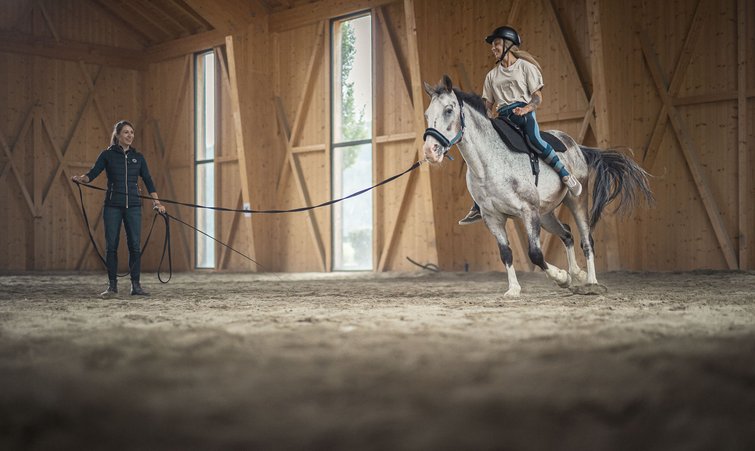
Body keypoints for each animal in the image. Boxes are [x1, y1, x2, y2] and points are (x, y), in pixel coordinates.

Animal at [422, 75, 653, 296]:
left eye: (449, 110)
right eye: (426, 114)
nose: (430, 151)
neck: (488, 164)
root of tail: (576, 146)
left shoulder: (528, 211)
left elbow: (535, 253)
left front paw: (562, 278)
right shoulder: (493, 218)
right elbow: (506, 253)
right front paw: (514, 289)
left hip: (576, 200)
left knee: (586, 241)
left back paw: (591, 282)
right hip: (545, 215)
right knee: (567, 233)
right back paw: (578, 274)